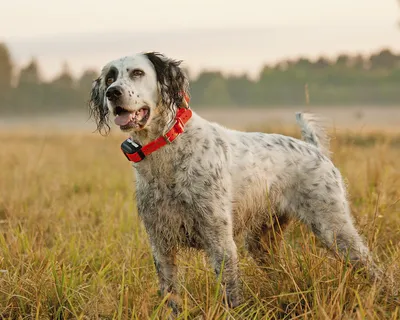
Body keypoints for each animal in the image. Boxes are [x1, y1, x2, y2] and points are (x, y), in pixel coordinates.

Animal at [89, 52, 382, 312]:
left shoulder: (220, 242)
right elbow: (171, 297)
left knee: (375, 268)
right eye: (110, 77)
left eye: (137, 73)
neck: (167, 151)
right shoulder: (161, 245)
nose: (112, 93)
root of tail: (314, 149)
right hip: (262, 242)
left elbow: (229, 294)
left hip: (334, 230)